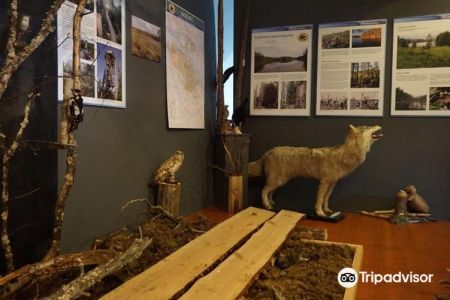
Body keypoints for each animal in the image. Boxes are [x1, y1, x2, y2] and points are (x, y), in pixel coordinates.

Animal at [248, 125, 382, 217]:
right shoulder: (324, 182)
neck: (346, 155)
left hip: (280, 180)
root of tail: (267, 152)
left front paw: (327, 210)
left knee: (270, 192)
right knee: (264, 190)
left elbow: (326, 198)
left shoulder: (332, 183)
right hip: (278, 180)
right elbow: (320, 199)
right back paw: (266, 205)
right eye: (367, 127)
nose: (378, 125)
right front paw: (320, 212)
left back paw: (272, 204)